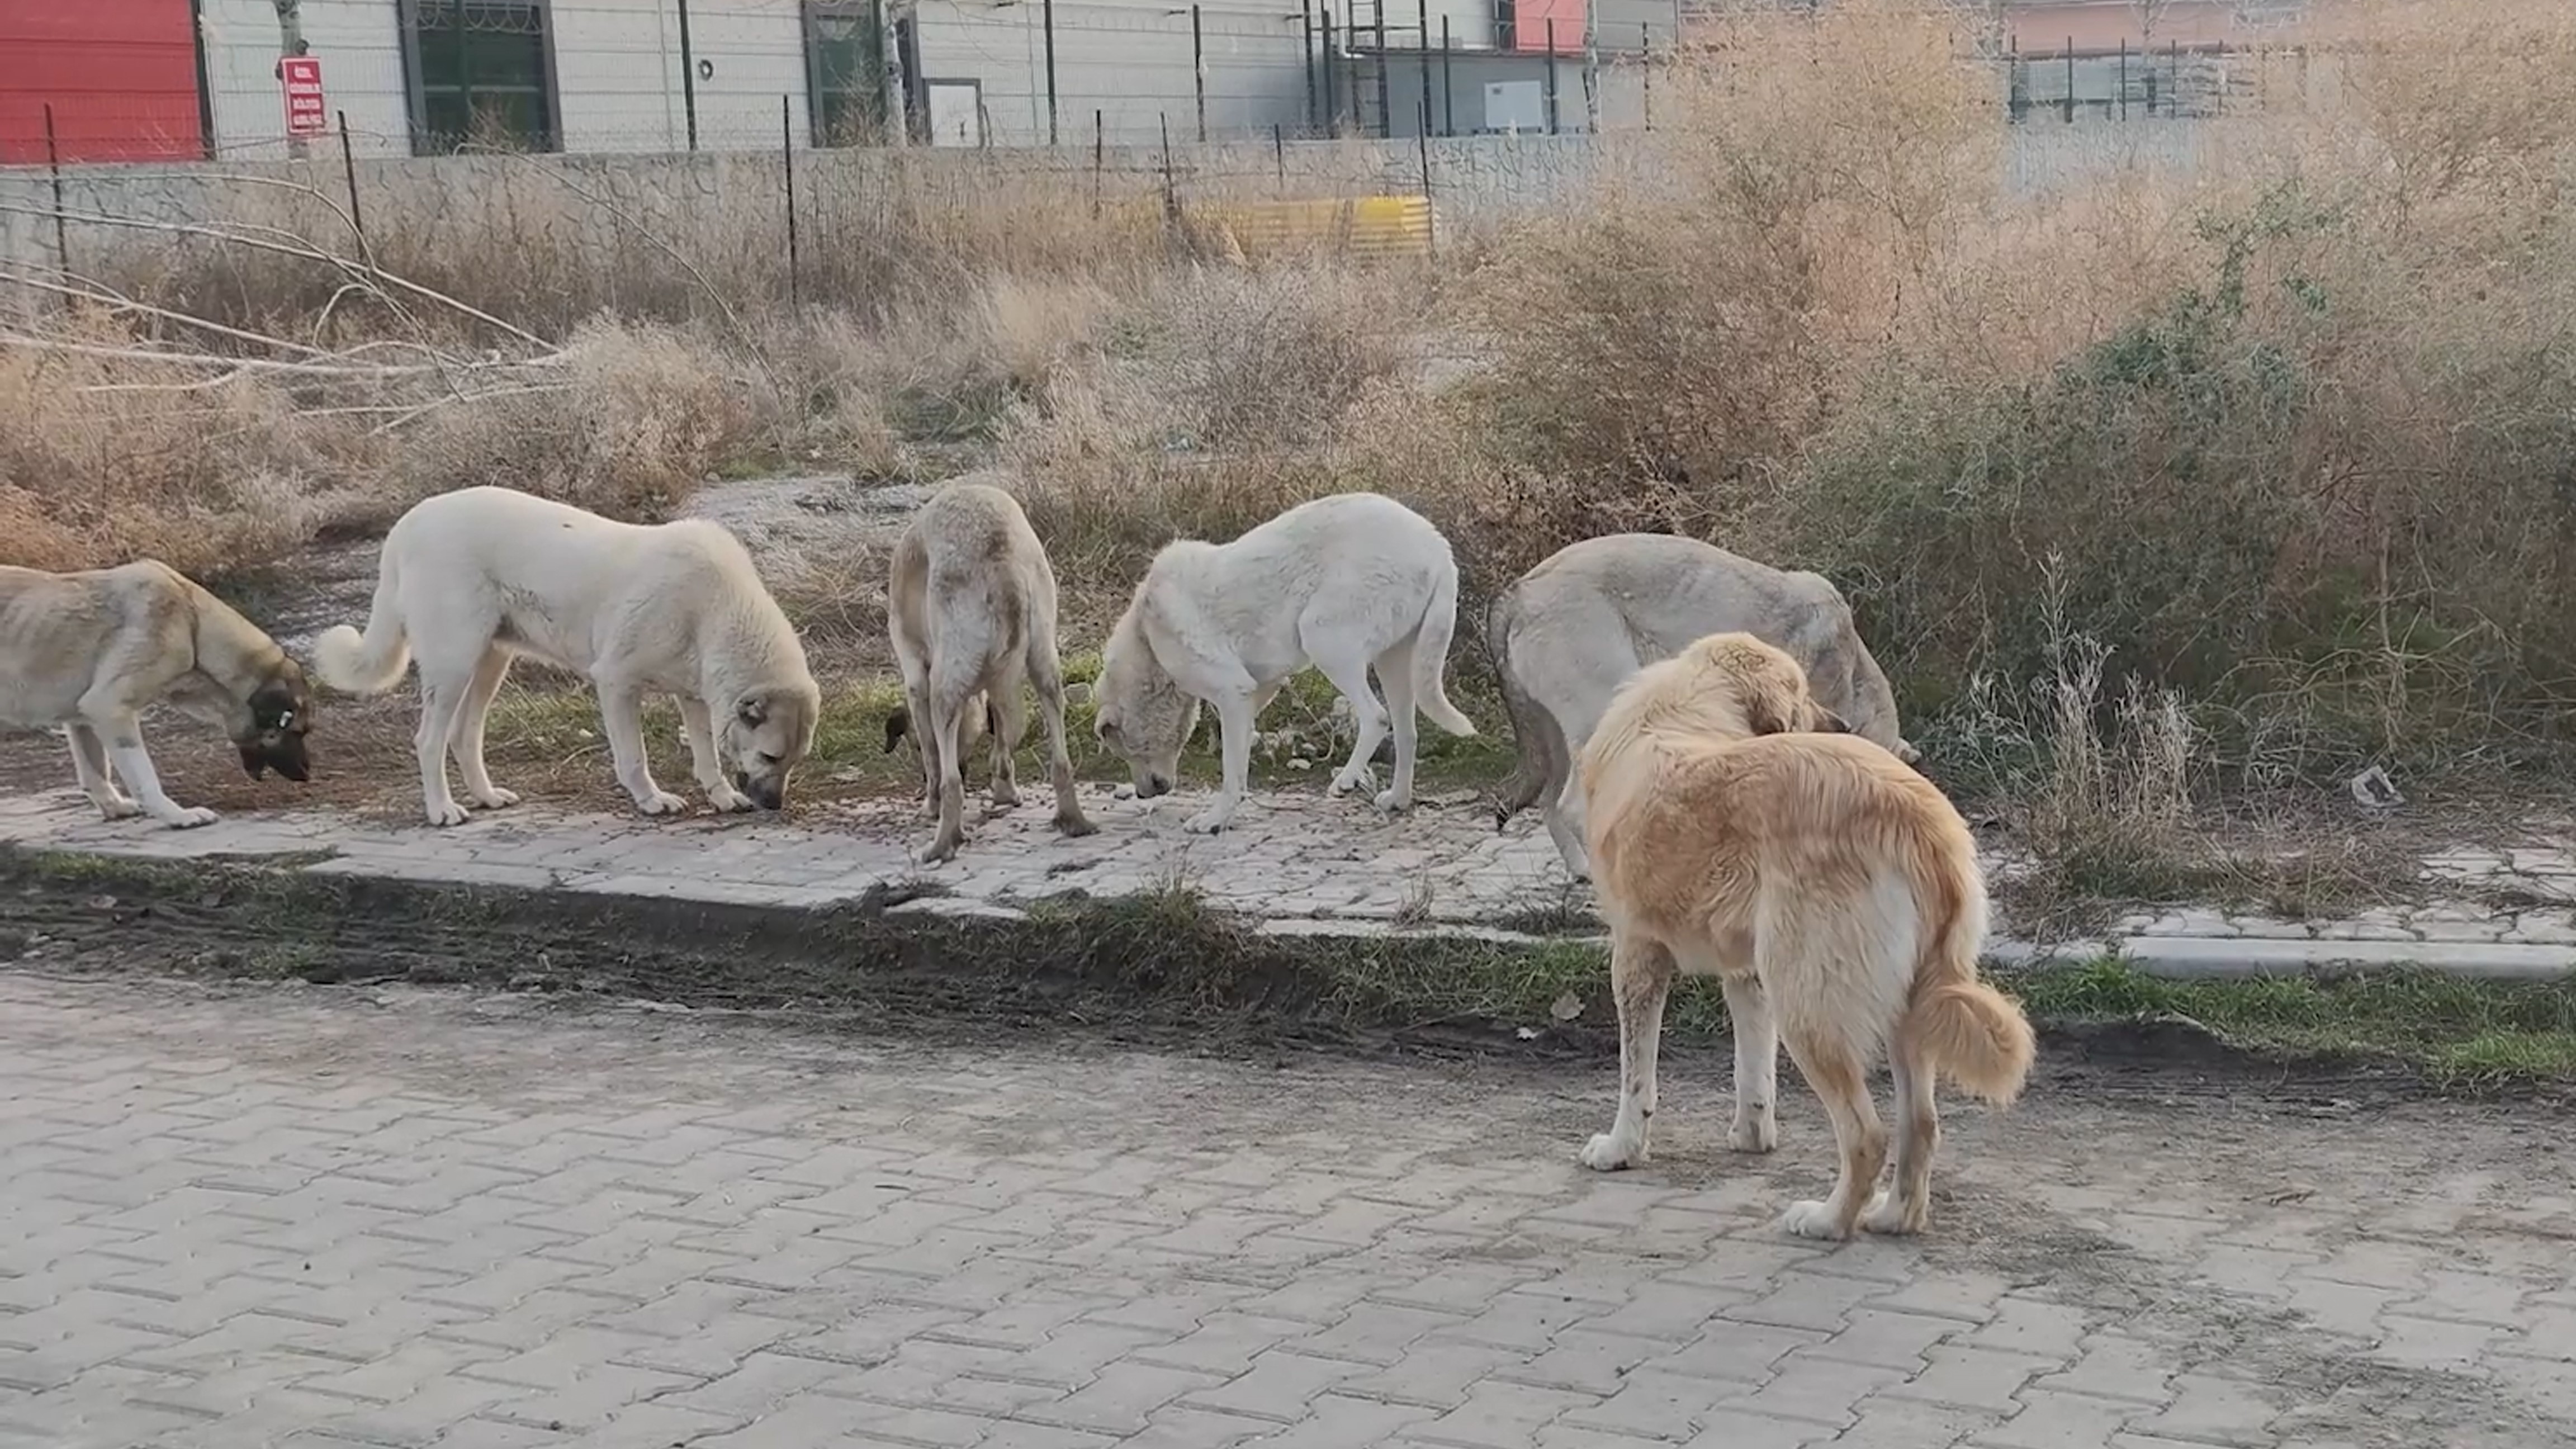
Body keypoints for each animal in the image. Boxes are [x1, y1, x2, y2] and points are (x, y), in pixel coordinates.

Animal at [1, 554, 316, 825]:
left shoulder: (82, 719)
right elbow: (145, 778)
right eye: (297, 732)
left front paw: (114, 807)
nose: (306, 774)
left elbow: (95, 773)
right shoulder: (110, 708)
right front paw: (177, 816)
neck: (194, 625)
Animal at [314, 485, 814, 825]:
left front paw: (722, 797)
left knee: (464, 737)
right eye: (771, 757)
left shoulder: (694, 697)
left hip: (489, 664)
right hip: (453, 663)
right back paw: (443, 809)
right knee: (430, 741)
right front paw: (651, 800)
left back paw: (486, 796)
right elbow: (634, 757)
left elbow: (707, 756)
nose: (775, 805)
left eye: (794, 760)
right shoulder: (615, 683)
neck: (715, 607)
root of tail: (408, 524)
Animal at [1097, 492, 1484, 835]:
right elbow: (1239, 756)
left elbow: (1230, 769)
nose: (1145, 794)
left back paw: (1346, 780)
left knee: (1377, 717)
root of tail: (1437, 545)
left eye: (1126, 750)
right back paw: (1398, 799)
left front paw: (1215, 819)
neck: (1147, 635)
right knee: (1407, 732)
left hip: (1324, 638)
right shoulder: (1255, 691)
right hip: (1394, 661)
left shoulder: (1232, 691)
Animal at [1566, 626, 2030, 1237]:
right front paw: (1751, 1137)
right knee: (1921, 1125)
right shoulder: (1748, 975)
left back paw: (1828, 1221)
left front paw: (1621, 1149)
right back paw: (1891, 1218)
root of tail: (1914, 815)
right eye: (1805, 695)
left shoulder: (1637, 955)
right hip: (1901, 1005)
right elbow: (1753, 1070)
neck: (1684, 709)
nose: (1841, 725)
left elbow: (1636, 1077)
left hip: (1808, 1004)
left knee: (1867, 1135)